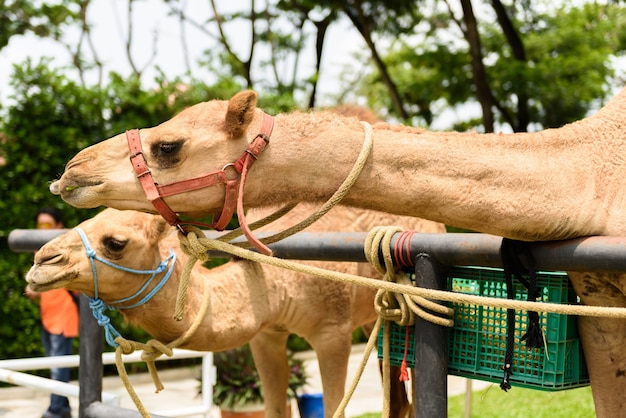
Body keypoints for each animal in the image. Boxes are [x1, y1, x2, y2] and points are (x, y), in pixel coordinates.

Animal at [25, 207, 444, 416]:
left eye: (115, 242)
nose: (41, 262)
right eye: (84, 221)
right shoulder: (267, 334)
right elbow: (275, 410)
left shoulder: (332, 332)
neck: (275, 281)